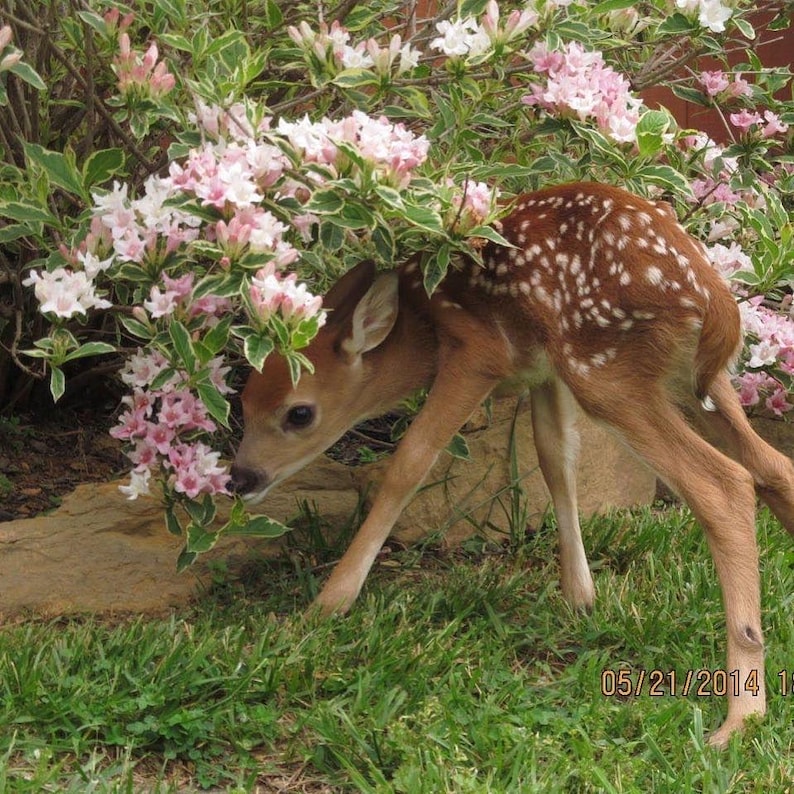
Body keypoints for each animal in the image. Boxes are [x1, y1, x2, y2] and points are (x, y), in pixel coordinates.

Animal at [230, 181, 794, 747]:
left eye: (299, 413)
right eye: (243, 399)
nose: (240, 477)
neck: (421, 324)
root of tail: (715, 298)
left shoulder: (477, 354)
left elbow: (411, 461)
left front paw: (328, 605)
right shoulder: (542, 369)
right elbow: (555, 458)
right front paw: (581, 597)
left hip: (606, 371)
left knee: (723, 484)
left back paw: (741, 716)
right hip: (690, 380)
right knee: (772, 466)